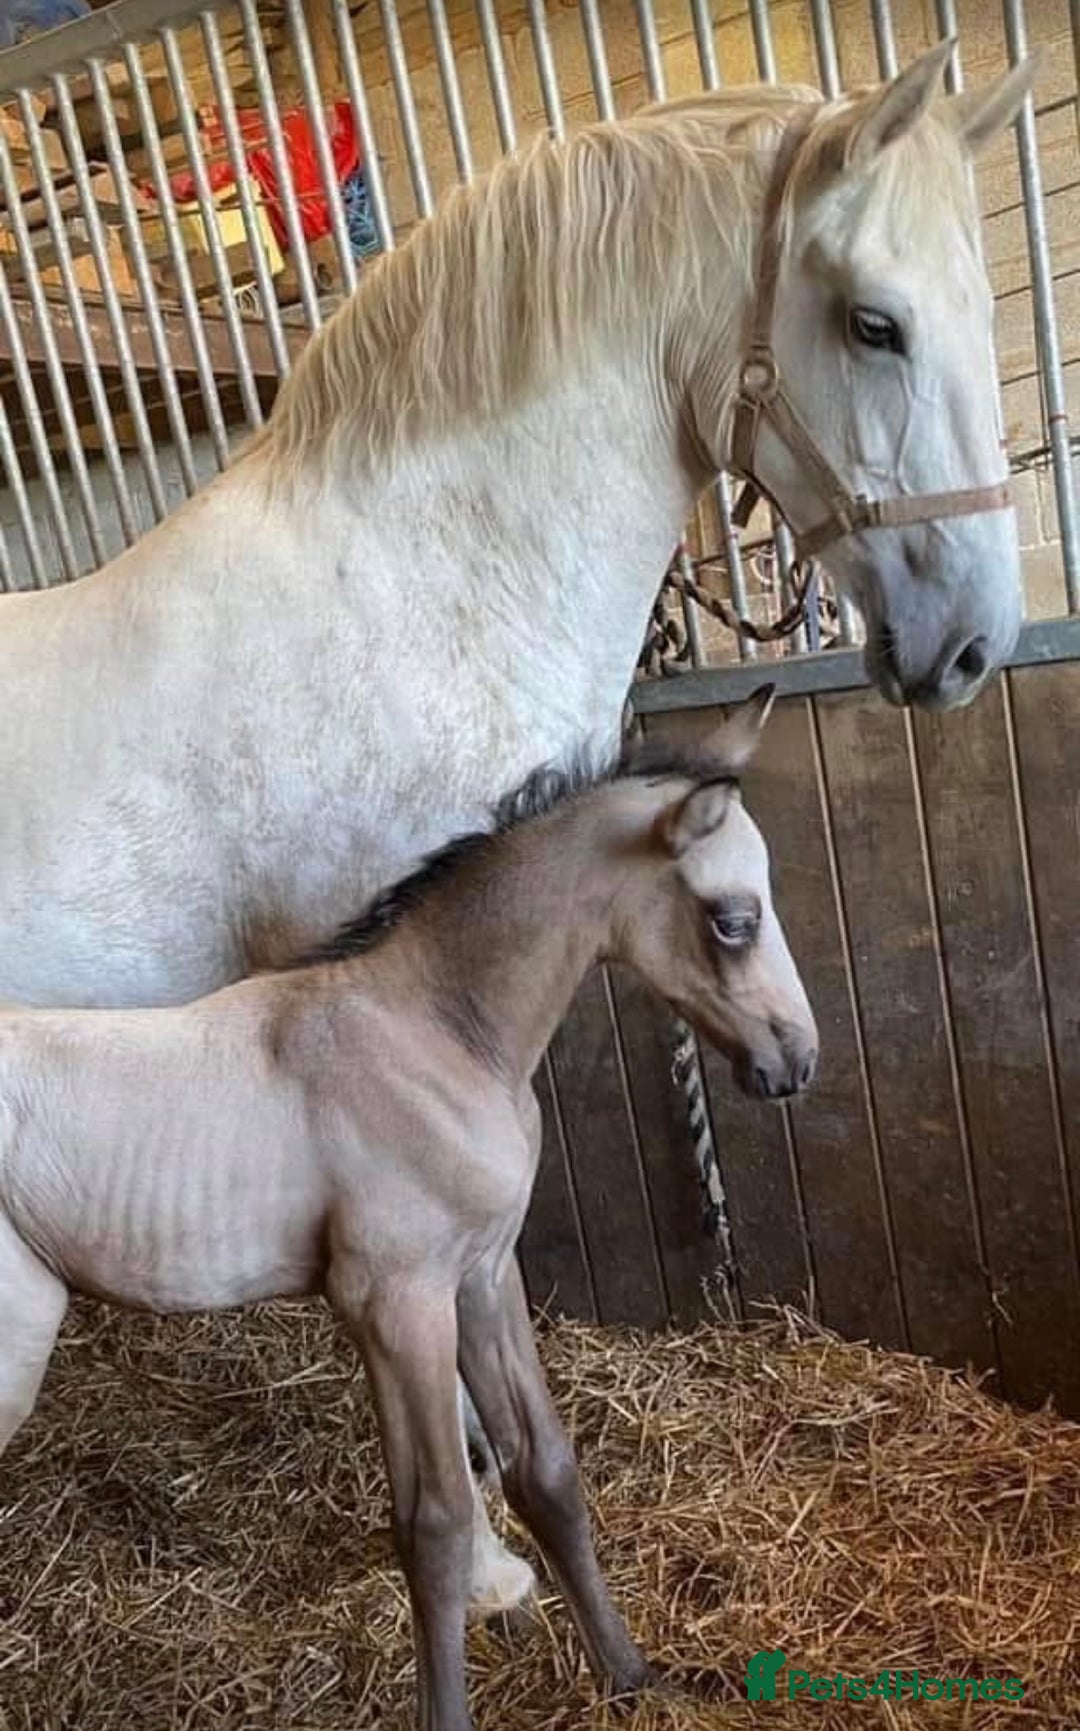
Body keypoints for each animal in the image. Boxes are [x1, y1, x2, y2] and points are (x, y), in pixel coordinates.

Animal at [0, 690, 816, 1731]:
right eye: (733, 919)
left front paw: (631, 1674)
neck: (434, 1031)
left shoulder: (483, 1271)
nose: (795, 1061)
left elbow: (544, 1469)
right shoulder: (393, 1302)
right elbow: (434, 1521)